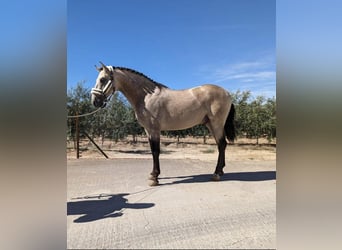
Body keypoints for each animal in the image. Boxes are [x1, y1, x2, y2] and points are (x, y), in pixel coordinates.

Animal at [91, 61, 235, 185]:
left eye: (102, 79)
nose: (95, 101)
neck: (146, 97)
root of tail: (227, 93)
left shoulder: (155, 130)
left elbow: (156, 151)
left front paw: (154, 178)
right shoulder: (148, 131)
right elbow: (152, 150)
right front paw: (153, 174)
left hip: (216, 124)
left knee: (222, 144)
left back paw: (216, 173)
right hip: (210, 124)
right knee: (221, 145)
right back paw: (221, 171)